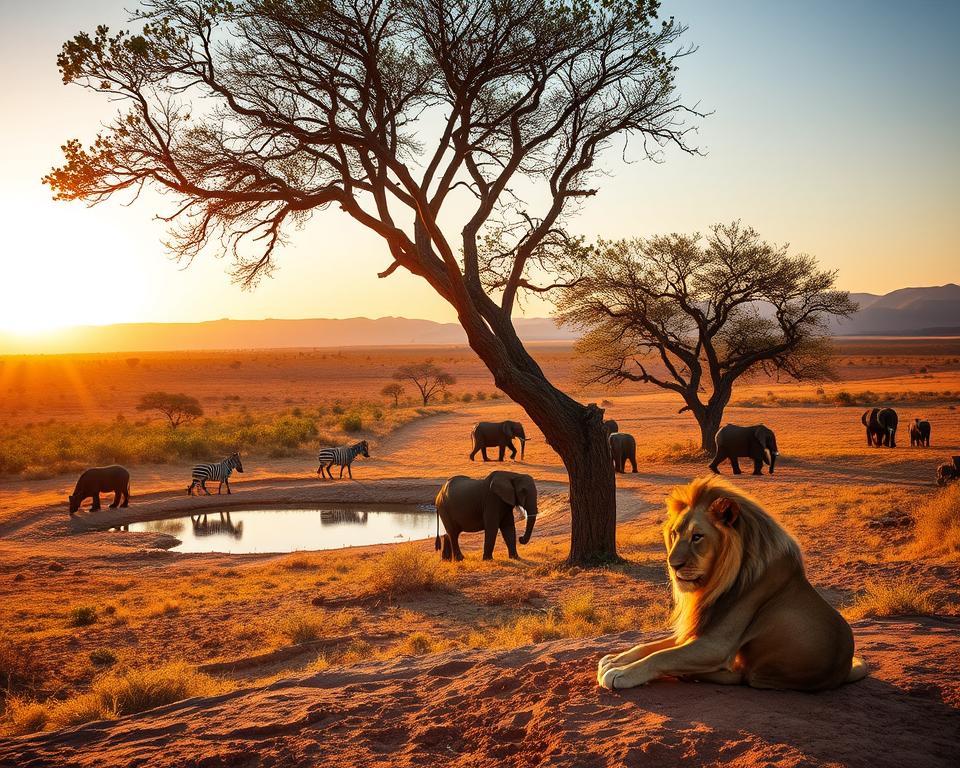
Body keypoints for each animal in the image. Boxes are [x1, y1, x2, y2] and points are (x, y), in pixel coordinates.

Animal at [597, 475, 869, 690]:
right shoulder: (699, 629)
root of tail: (844, 668)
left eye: (697, 537)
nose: (673, 565)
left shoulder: (716, 644)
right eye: (674, 534)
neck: (714, 584)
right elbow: (650, 646)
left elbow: (662, 656)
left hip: (755, 673)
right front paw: (615, 659)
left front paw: (619, 673)